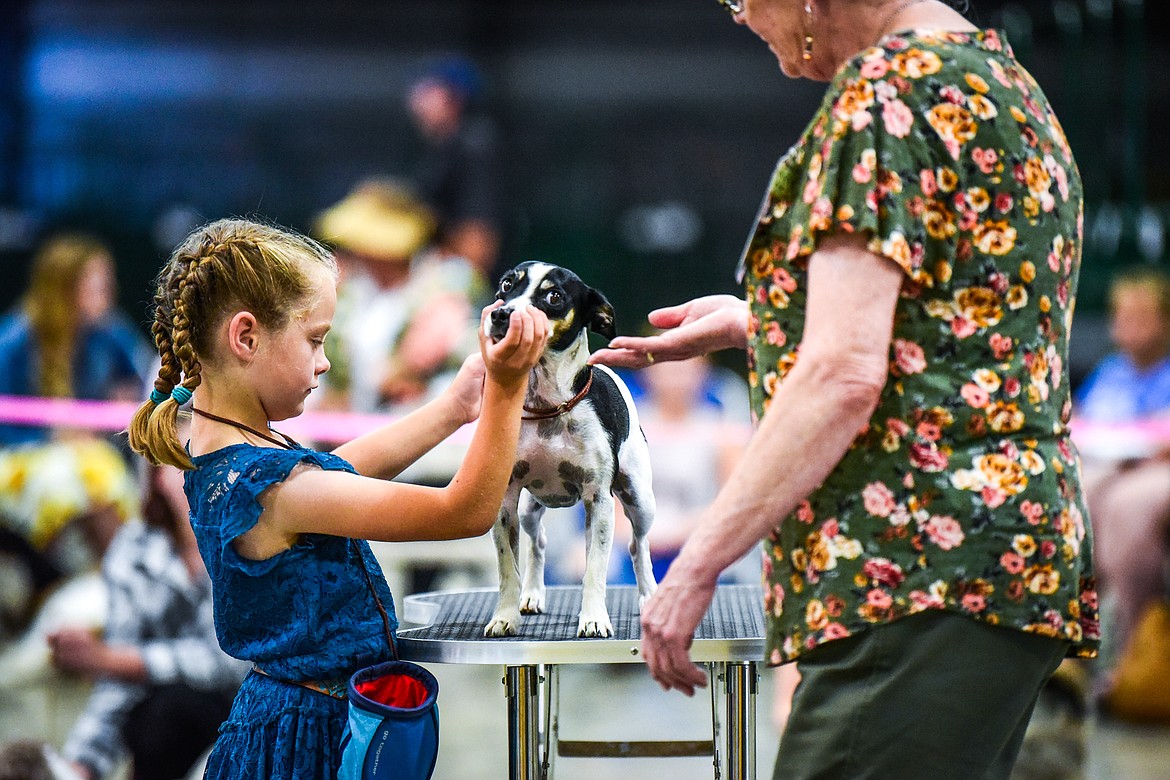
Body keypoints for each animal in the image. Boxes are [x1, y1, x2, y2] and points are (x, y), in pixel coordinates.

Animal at [479, 261, 655, 640]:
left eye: (554, 296)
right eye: (507, 285)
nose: (501, 314)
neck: (548, 407)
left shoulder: (599, 500)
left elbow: (595, 572)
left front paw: (594, 618)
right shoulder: (505, 504)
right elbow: (508, 569)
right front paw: (505, 616)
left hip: (638, 500)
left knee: (638, 546)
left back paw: (650, 597)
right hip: (530, 510)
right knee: (539, 543)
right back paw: (532, 595)